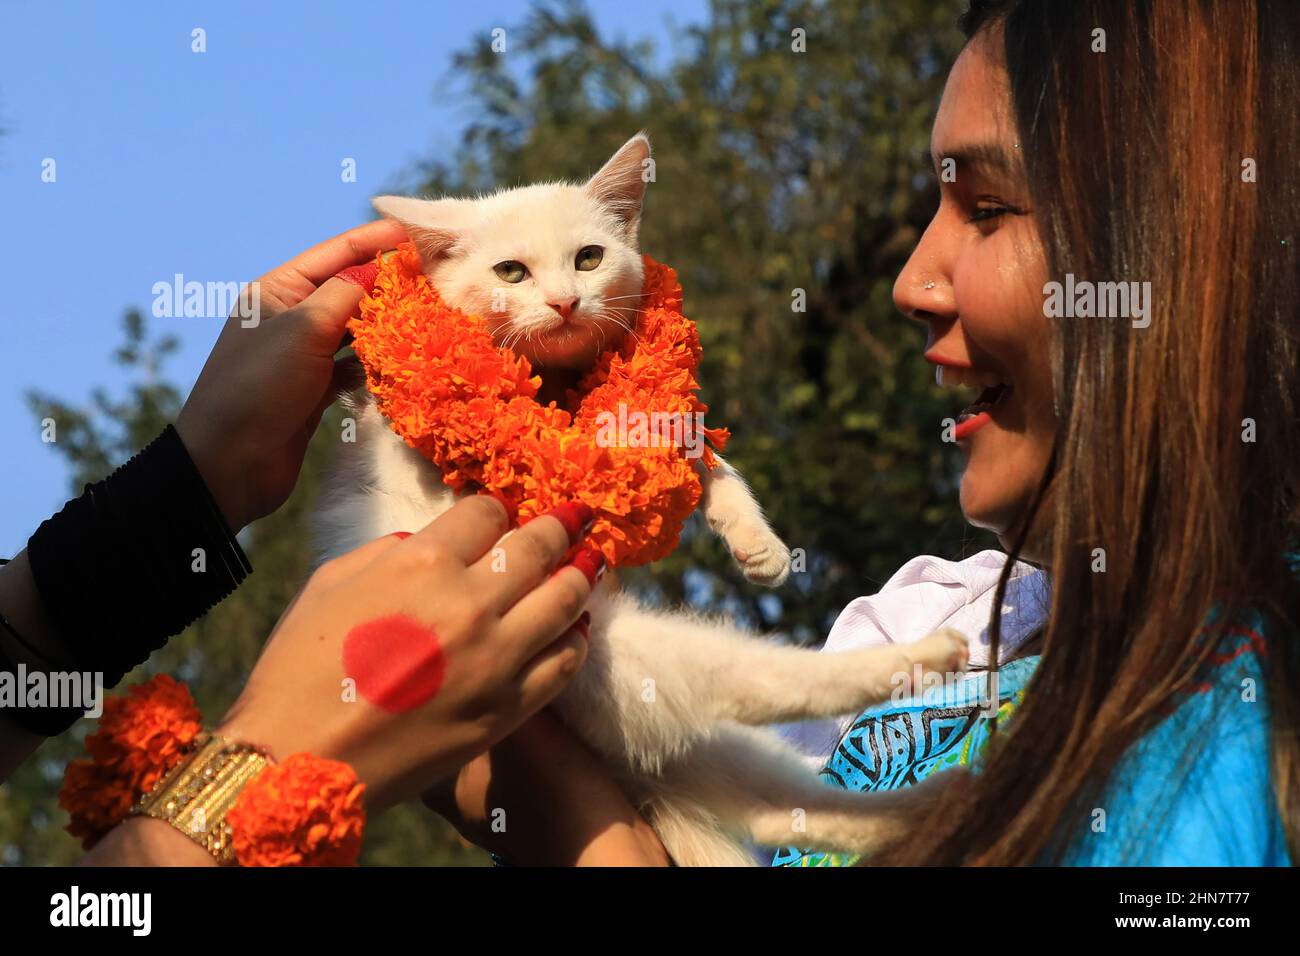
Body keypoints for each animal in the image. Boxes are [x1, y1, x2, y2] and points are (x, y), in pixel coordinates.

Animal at [312, 134, 967, 868]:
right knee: (757, 684)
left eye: (588, 258)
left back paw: (926, 806)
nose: (565, 303)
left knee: (784, 807)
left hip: (688, 733)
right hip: (625, 663)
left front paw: (757, 544)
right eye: (511, 272)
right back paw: (924, 663)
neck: (555, 385)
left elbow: (704, 459)